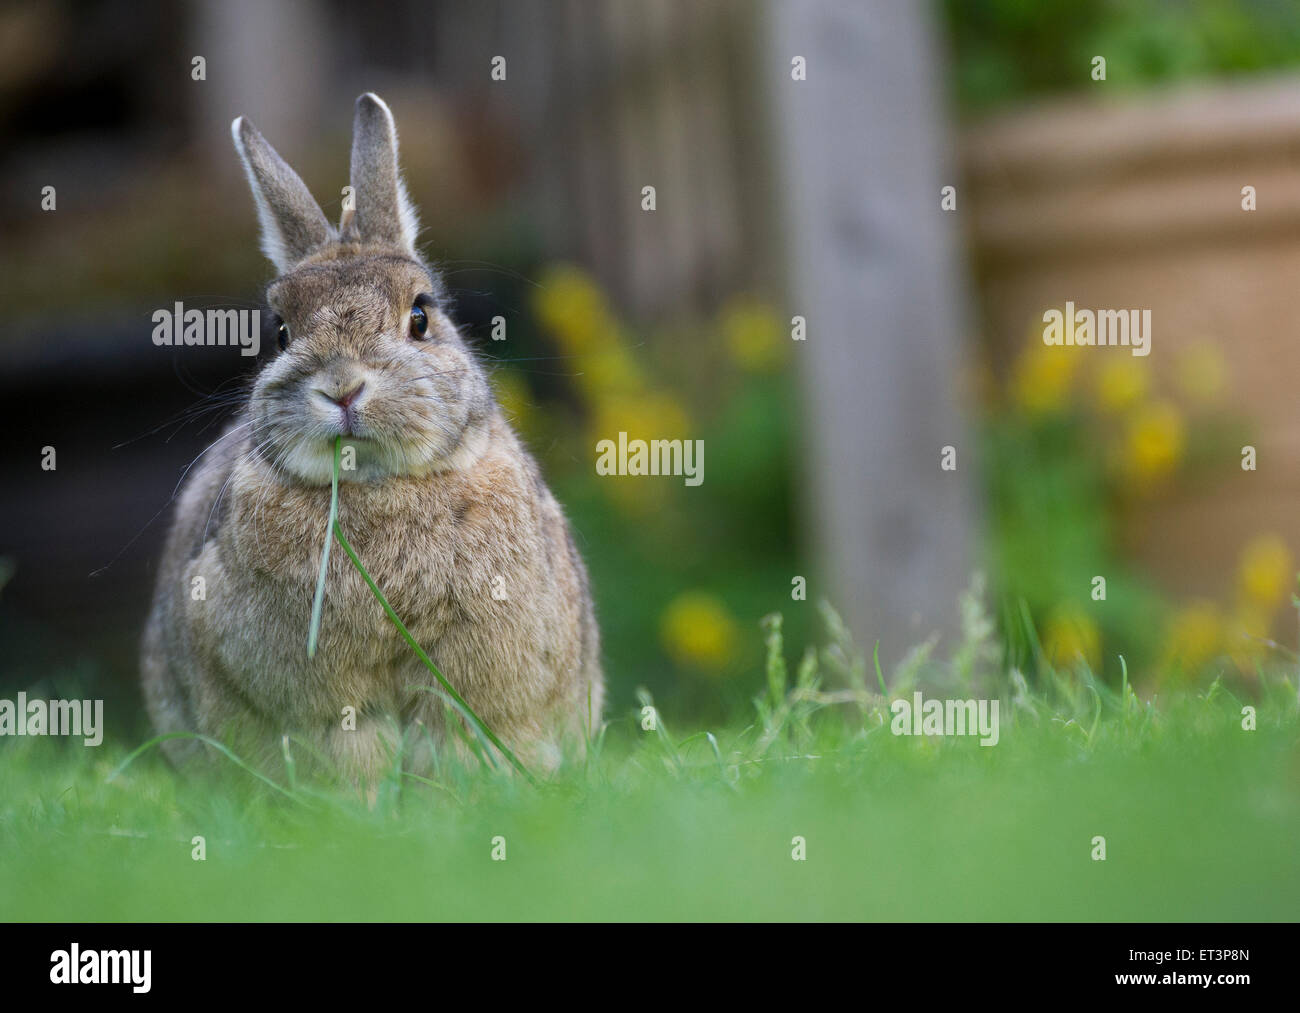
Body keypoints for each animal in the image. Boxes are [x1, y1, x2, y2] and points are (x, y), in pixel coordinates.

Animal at [141, 93, 603, 784]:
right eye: (280, 331)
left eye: (420, 316)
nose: (343, 387)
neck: (379, 487)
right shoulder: (327, 710)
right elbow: (349, 755)